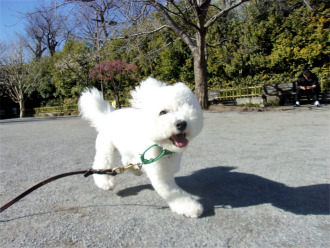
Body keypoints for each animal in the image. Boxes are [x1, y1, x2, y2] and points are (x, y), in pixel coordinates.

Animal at [79, 77, 204, 217]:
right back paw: (105, 182)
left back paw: (135, 169)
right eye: (163, 112)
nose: (181, 123)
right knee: (102, 163)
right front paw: (190, 207)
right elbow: (173, 193)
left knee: (125, 159)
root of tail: (107, 115)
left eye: (187, 109)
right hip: (106, 147)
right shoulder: (160, 174)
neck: (163, 147)